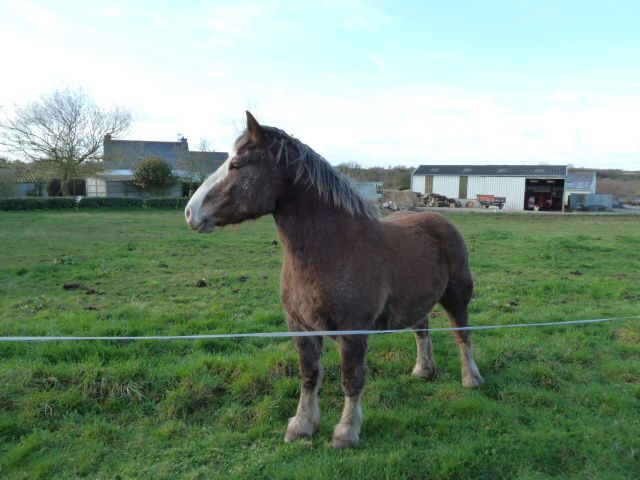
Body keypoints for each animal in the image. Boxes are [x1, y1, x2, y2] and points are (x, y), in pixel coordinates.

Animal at [186, 111, 484, 446]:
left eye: (237, 165)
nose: (190, 212)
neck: (332, 248)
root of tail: (440, 220)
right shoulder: (300, 327)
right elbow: (309, 375)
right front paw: (301, 425)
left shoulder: (352, 330)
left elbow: (351, 378)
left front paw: (346, 432)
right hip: (417, 301)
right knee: (422, 330)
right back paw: (423, 370)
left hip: (457, 296)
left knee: (462, 334)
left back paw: (471, 378)